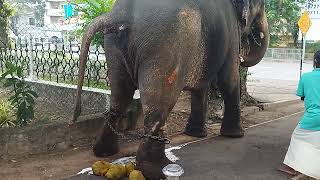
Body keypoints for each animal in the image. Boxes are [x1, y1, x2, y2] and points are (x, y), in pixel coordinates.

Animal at [72, 0, 268, 179]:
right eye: (260, 5)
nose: (253, 36)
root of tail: (119, 14)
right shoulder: (231, 35)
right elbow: (229, 79)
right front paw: (236, 136)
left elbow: (201, 86)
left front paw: (196, 134)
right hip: (163, 45)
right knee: (158, 105)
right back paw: (158, 169)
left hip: (113, 47)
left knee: (119, 97)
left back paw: (104, 152)